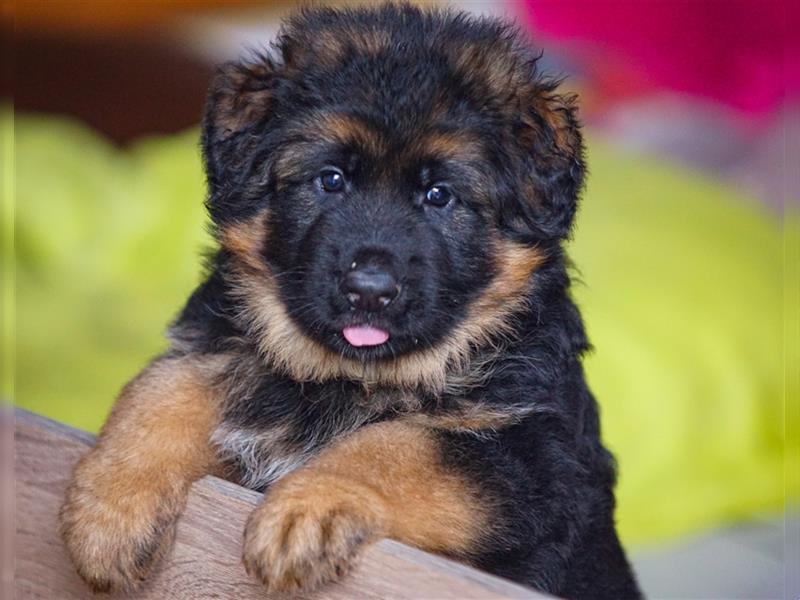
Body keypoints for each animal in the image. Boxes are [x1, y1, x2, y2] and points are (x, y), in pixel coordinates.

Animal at [59, 4, 640, 600]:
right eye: (330, 179)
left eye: (439, 195)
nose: (370, 291)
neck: (345, 379)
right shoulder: (221, 346)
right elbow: (163, 386)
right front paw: (109, 509)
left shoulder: (534, 458)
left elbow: (398, 444)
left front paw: (308, 507)